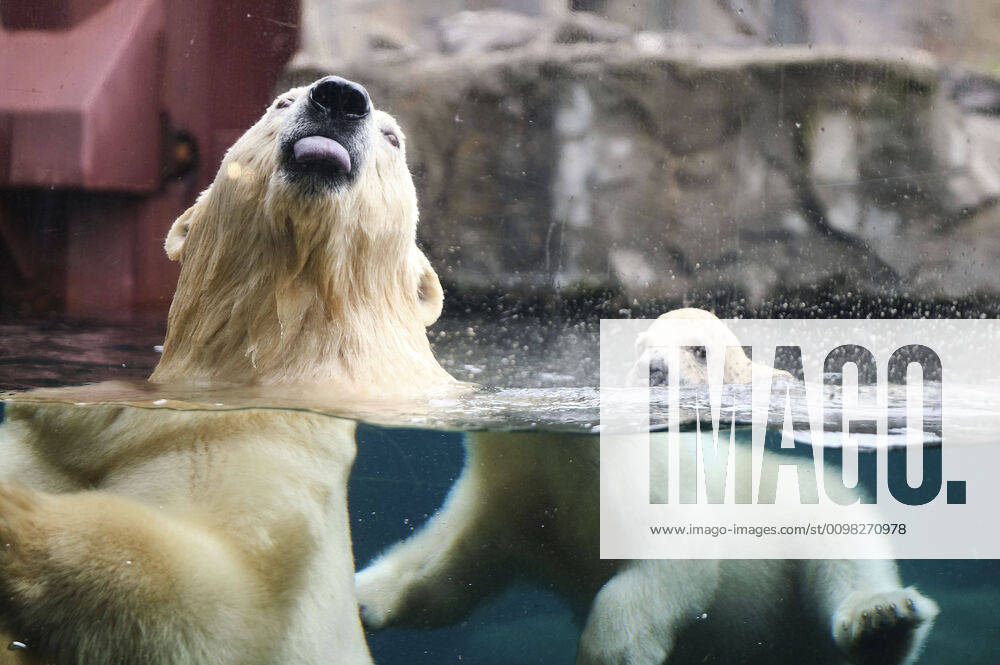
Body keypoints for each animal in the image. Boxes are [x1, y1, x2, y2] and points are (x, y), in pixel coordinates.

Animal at [0, 75, 456, 665]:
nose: (339, 96)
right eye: (281, 102)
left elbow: (220, 599)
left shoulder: (276, 452)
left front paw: (13, 514)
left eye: (393, 138)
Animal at [355, 309, 939, 665]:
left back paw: (879, 618)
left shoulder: (655, 481)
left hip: (806, 507)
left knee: (844, 559)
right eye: (637, 349)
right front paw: (363, 599)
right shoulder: (512, 495)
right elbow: (444, 570)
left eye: (698, 350)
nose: (654, 368)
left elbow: (675, 562)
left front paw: (612, 651)